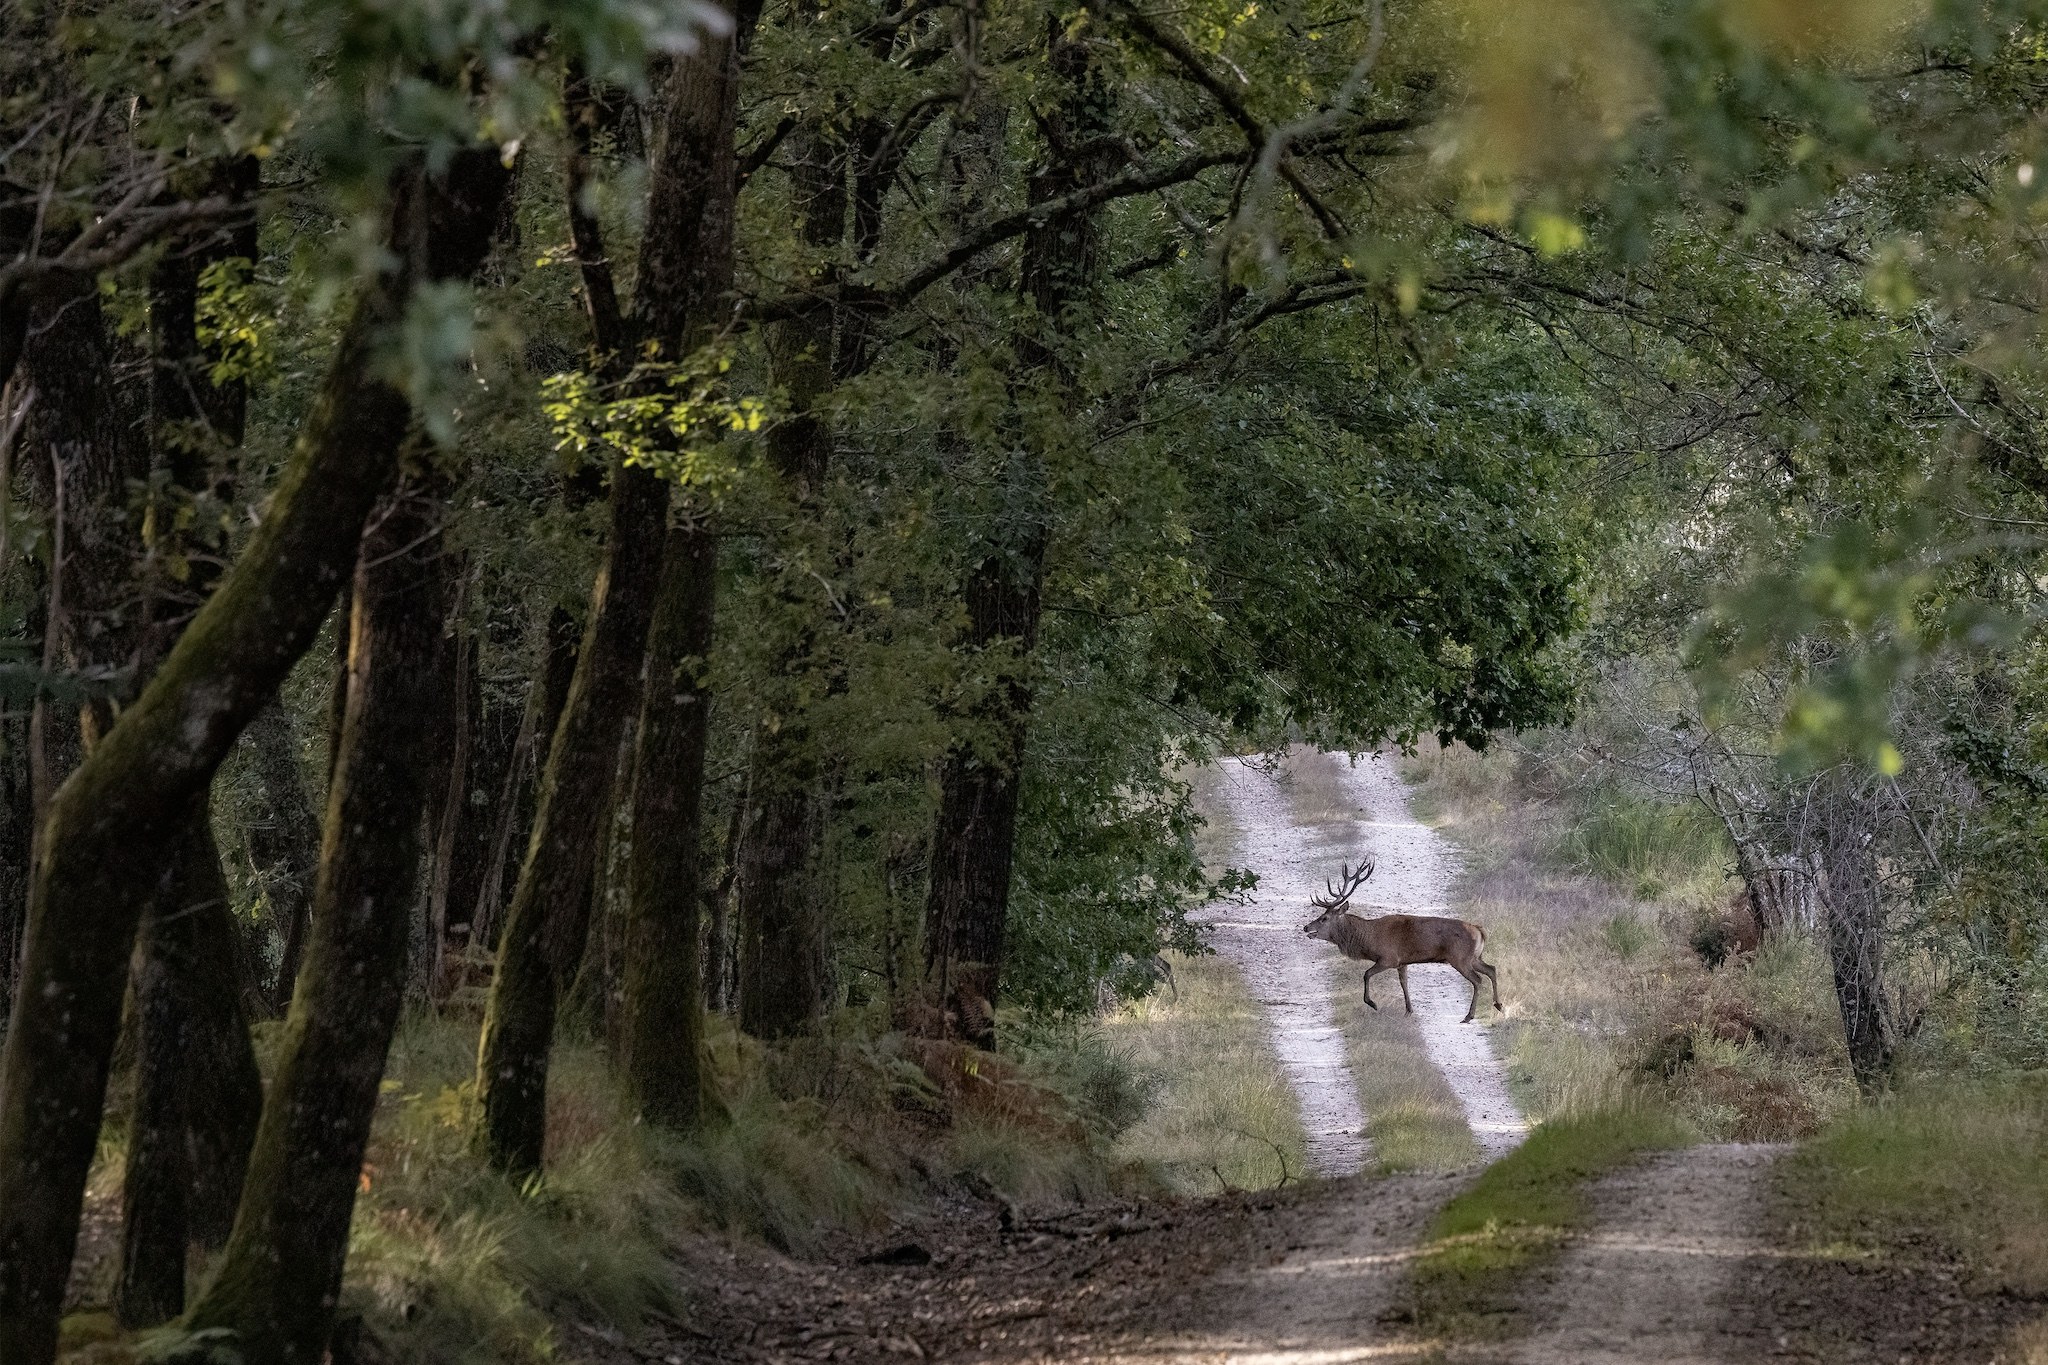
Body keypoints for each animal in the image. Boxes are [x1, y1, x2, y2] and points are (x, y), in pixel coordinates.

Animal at [1301, 857, 1503, 1024]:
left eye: (1324, 918)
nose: (1306, 927)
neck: (1368, 939)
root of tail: (1480, 930)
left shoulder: (1388, 958)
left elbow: (1366, 974)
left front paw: (1373, 1003)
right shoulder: (1402, 962)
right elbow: (1404, 983)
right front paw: (1408, 1011)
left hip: (1459, 958)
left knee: (1478, 979)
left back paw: (1469, 1016)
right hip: (1474, 957)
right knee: (1491, 969)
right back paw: (1498, 1004)